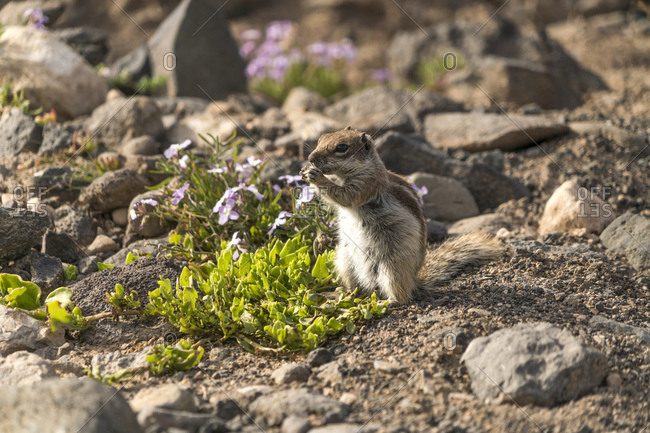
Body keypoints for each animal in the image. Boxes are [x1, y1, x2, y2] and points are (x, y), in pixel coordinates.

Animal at [300, 127, 504, 303]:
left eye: (341, 147)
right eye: (322, 138)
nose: (310, 158)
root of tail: (414, 280)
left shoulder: (367, 184)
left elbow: (345, 196)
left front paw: (317, 177)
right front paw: (305, 172)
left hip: (393, 268)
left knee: (401, 295)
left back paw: (388, 301)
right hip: (344, 260)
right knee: (357, 287)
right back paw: (341, 293)